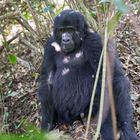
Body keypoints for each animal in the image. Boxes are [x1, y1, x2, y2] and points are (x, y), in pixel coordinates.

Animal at [37, 9, 139, 139]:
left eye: (70, 29)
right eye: (62, 30)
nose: (65, 39)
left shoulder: (95, 42)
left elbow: (115, 78)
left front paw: (127, 129)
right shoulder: (49, 47)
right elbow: (47, 81)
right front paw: (45, 125)